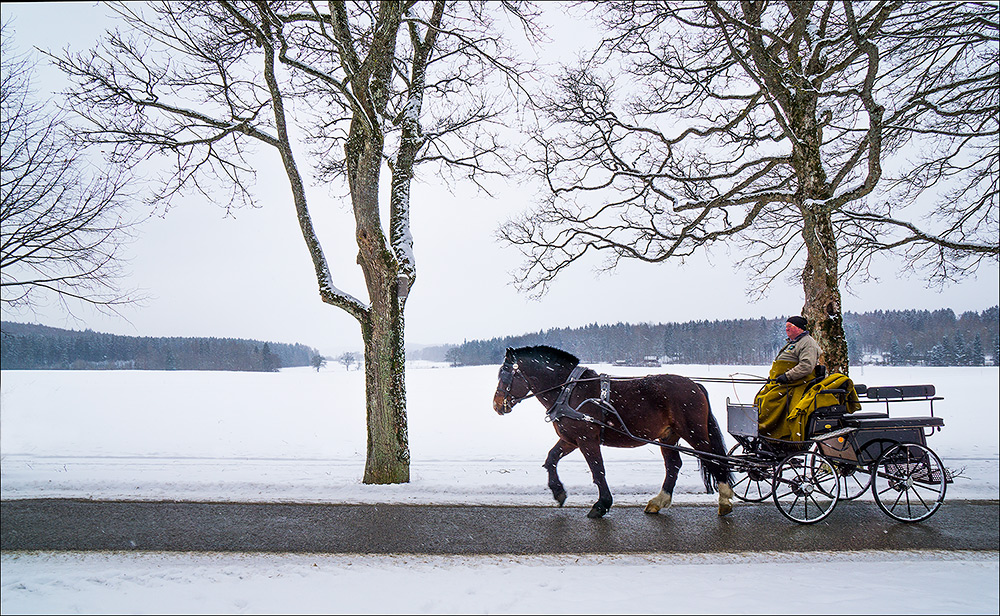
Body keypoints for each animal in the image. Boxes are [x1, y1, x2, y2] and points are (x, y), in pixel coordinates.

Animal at [492, 344, 736, 516]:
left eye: (505, 374)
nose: (496, 405)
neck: (568, 392)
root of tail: (695, 384)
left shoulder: (587, 439)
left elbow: (598, 470)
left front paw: (601, 505)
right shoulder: (570, 439)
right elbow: (551, 459)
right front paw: (558, 492)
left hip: (694, 432)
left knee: (715, 459)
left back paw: (724, 499)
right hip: (668, 436)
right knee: (674, 465)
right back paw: (658, 501)